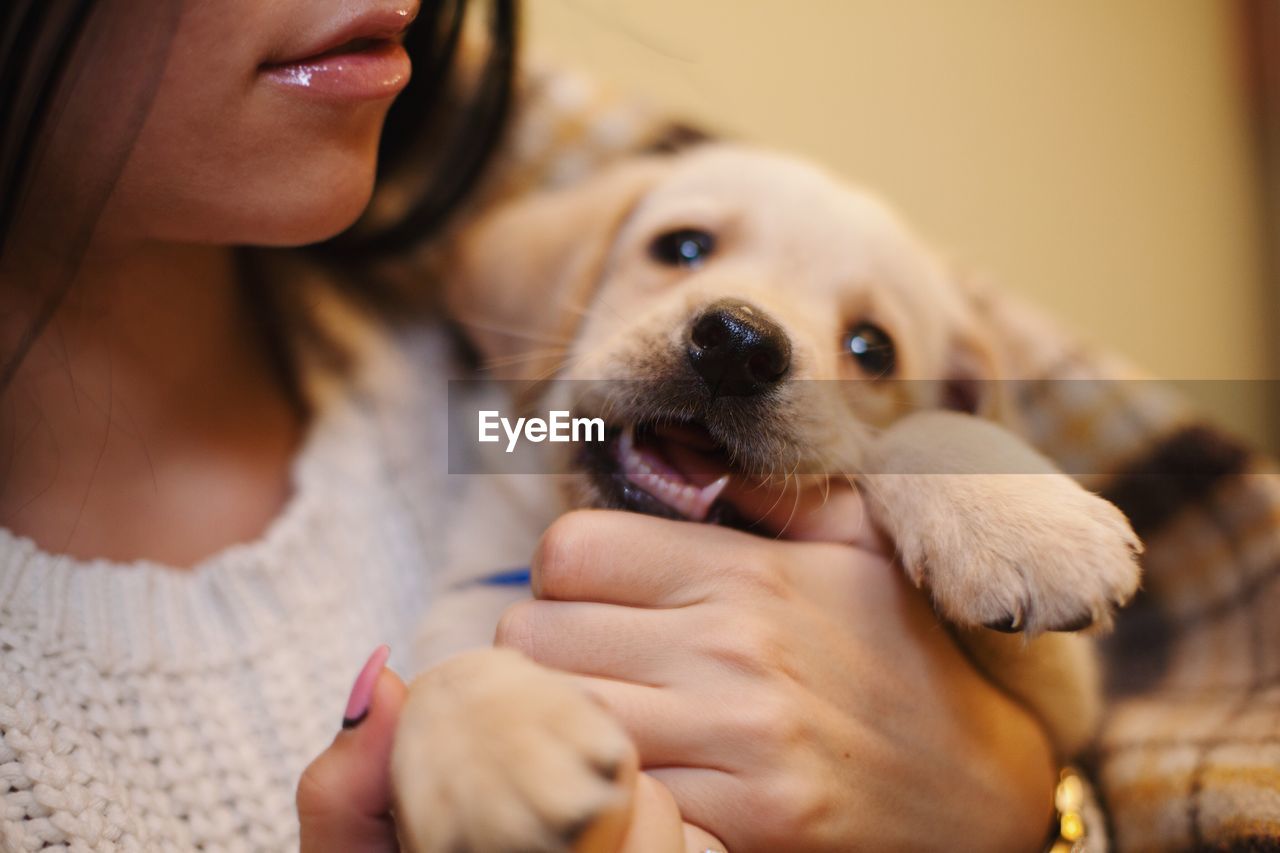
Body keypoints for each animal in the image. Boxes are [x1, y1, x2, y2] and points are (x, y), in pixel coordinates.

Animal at [394, 144, 1146, 850]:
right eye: (683, 247)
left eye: (872, 348)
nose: (737, 344)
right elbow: (430, 680)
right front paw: (495, 748)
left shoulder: (1066, 703)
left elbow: (921, 429)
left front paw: (1025, 524)